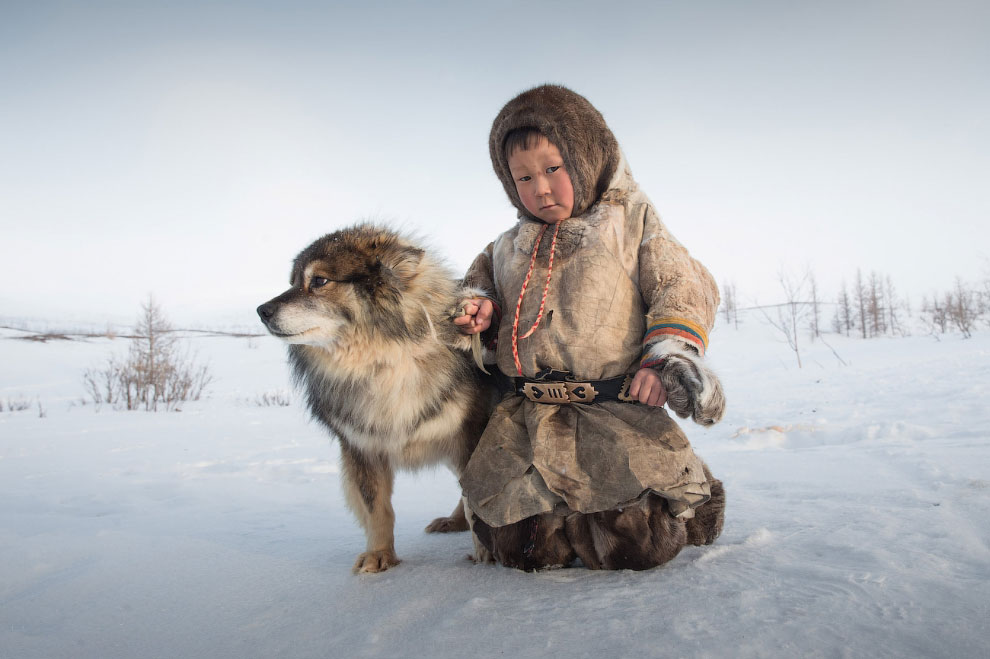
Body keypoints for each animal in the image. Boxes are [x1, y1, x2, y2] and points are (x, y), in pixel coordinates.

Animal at [256, 226, 496, 572]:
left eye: (319, 281)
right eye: (292, 282)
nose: (261, 311)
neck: (384, 362)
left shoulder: (470, 436)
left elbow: (475, 503)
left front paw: (485, 556)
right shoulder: (362, 447)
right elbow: (377, 509)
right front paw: (379, 556)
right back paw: (452, 522)